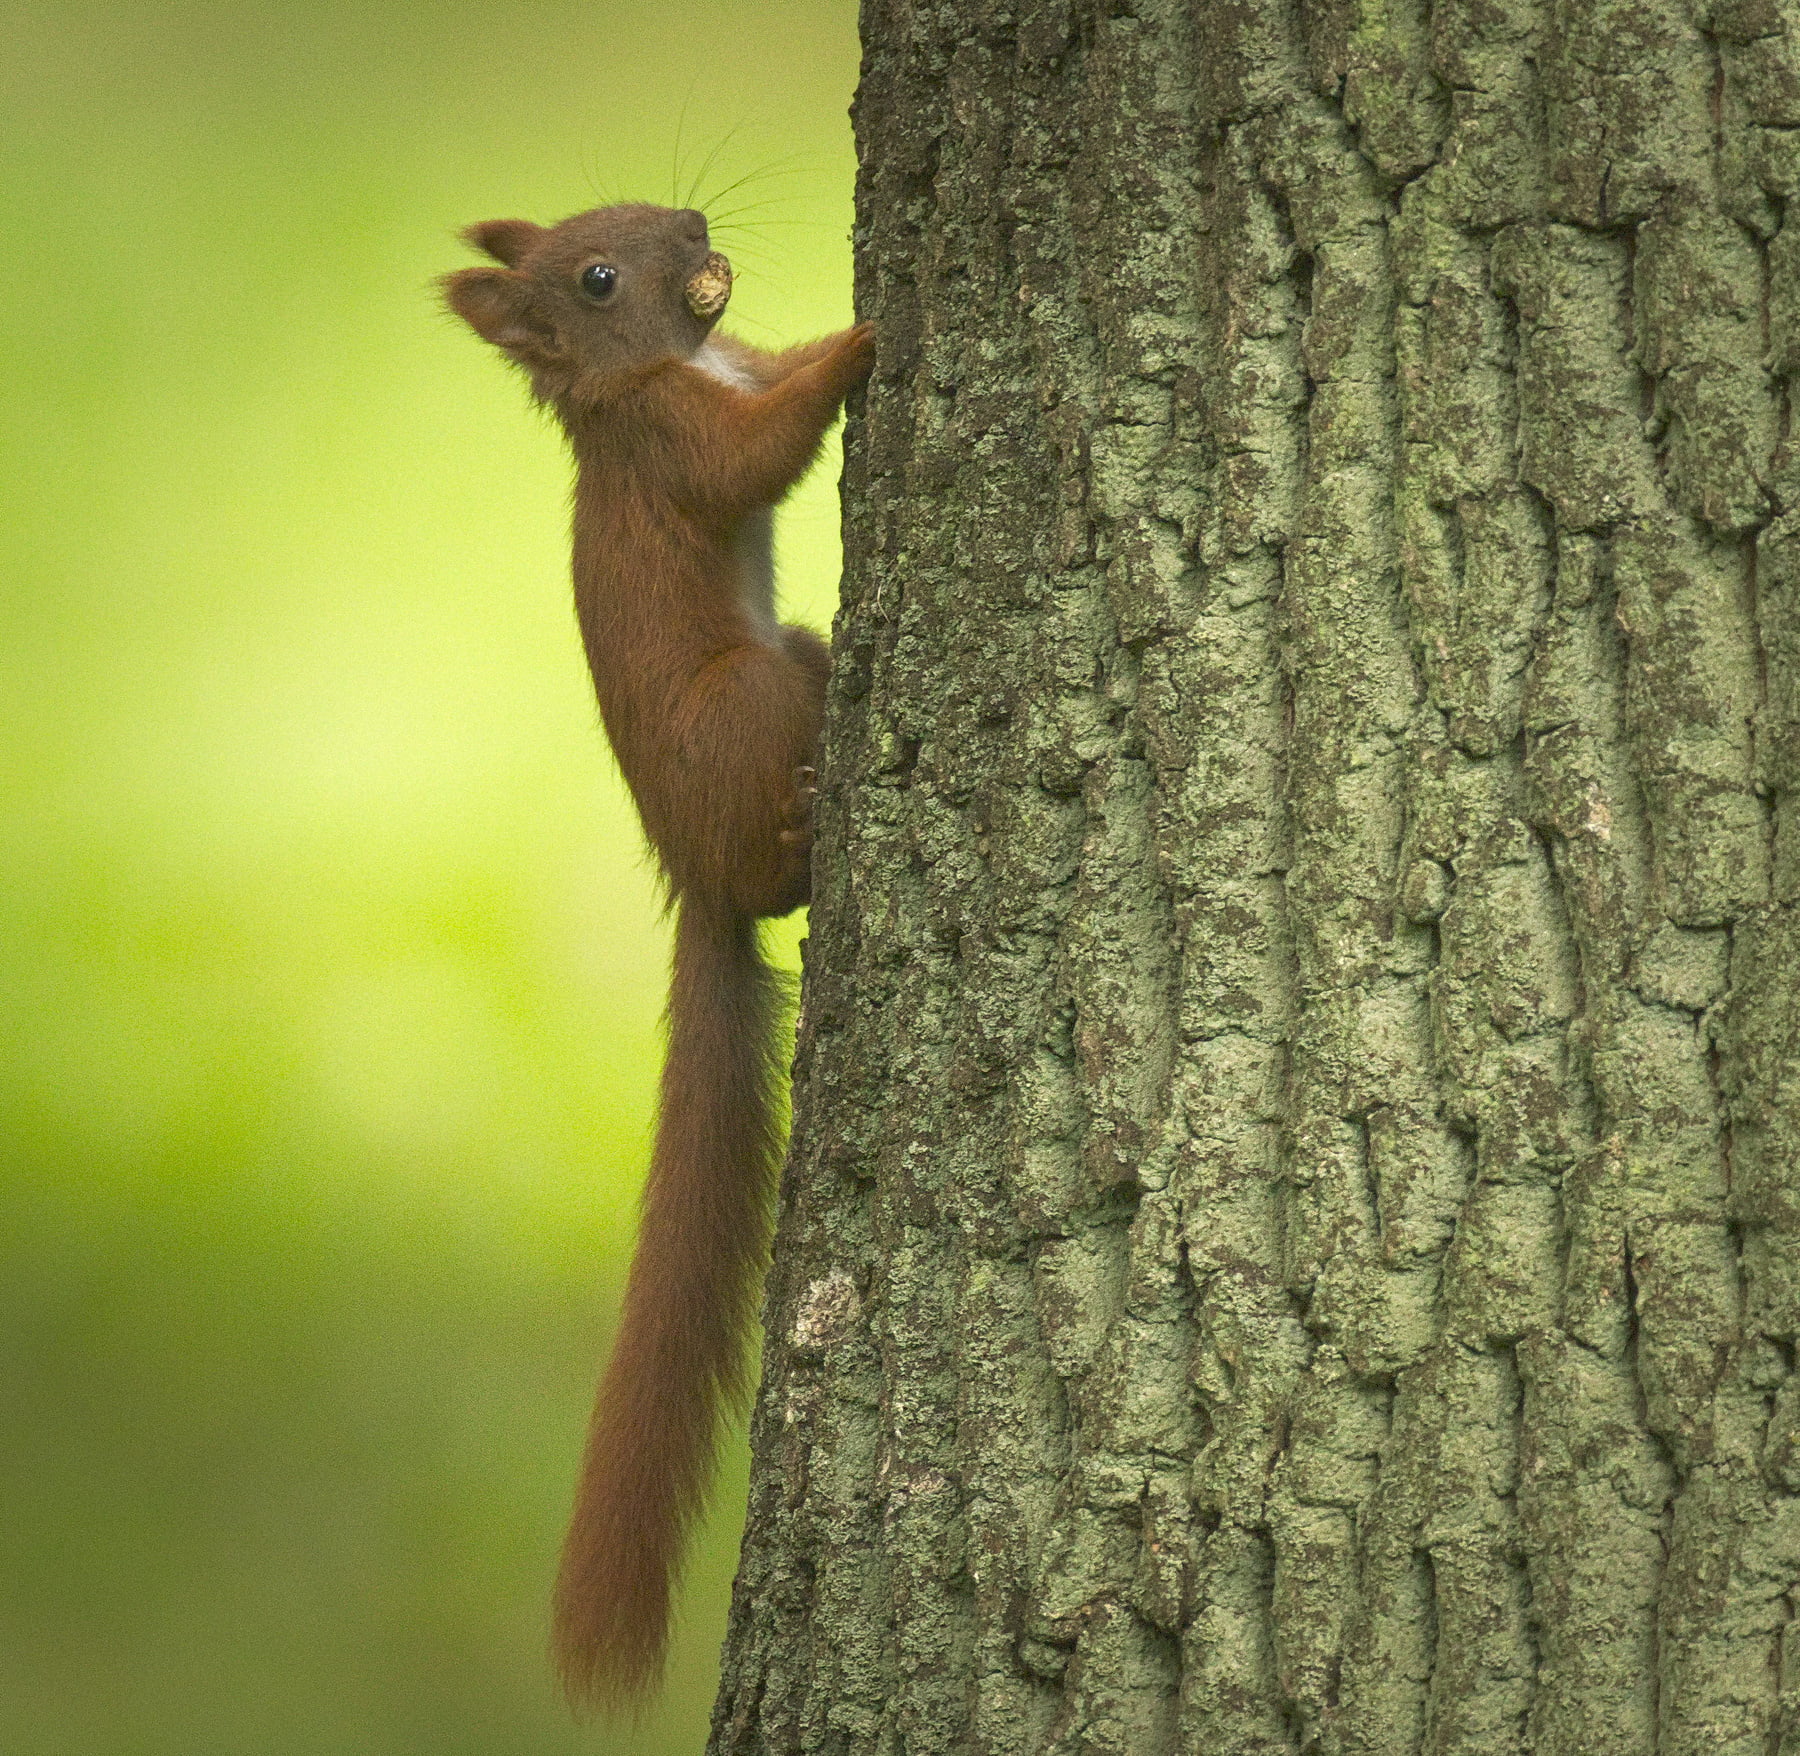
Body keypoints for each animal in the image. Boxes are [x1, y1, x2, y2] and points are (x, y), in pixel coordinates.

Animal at [442, 203, 874, 1708]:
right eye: (593, 279)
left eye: (633, 210)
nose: (695, 229)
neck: (660, 372)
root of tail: (695, 878)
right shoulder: (676, 449)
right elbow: (762, 451)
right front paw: (873, 337)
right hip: (748, 696)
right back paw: (802, 832)